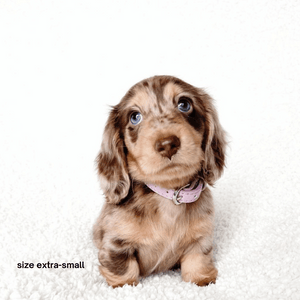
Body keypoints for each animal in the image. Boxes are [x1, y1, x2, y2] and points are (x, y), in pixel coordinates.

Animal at [92, 75, 226, 288]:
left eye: (184, 104)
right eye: (135, 116)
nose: (167, 144)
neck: (167, 195)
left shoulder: (201, 238)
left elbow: (198, 259)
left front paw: (201, 279)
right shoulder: (116, 242)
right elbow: (123, 268)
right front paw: (123, 287)